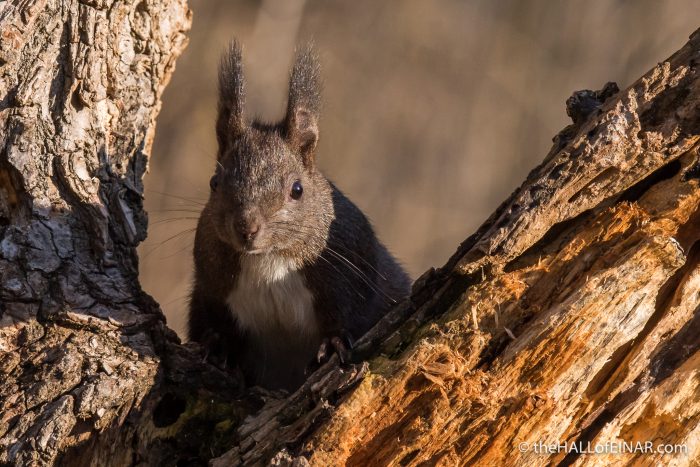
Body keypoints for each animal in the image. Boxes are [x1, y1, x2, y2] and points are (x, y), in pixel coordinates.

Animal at [188, 41, 411, 391]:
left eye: (297, 189)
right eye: (214, 183)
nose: (246, 228)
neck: (268, 260)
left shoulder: (352, 264)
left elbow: (350, 315)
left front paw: (332, 344)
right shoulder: (210, 284)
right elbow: (210, 322)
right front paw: (218, 345)